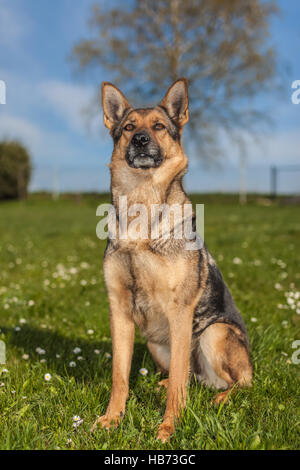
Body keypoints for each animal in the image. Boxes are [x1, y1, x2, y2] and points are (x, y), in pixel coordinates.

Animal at [92, 79, 252, 442]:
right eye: (128, 127)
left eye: (159, 127)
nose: (140, 140)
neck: (141, 206)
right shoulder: (118, 309)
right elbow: (120, 376)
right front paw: (111, 419)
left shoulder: (180, 312)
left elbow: (179, 383)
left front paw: (168, 428)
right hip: (155, 343)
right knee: (190, 378)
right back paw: (162, 386)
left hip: (213, 334)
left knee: (237, 383)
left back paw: (219, 398)